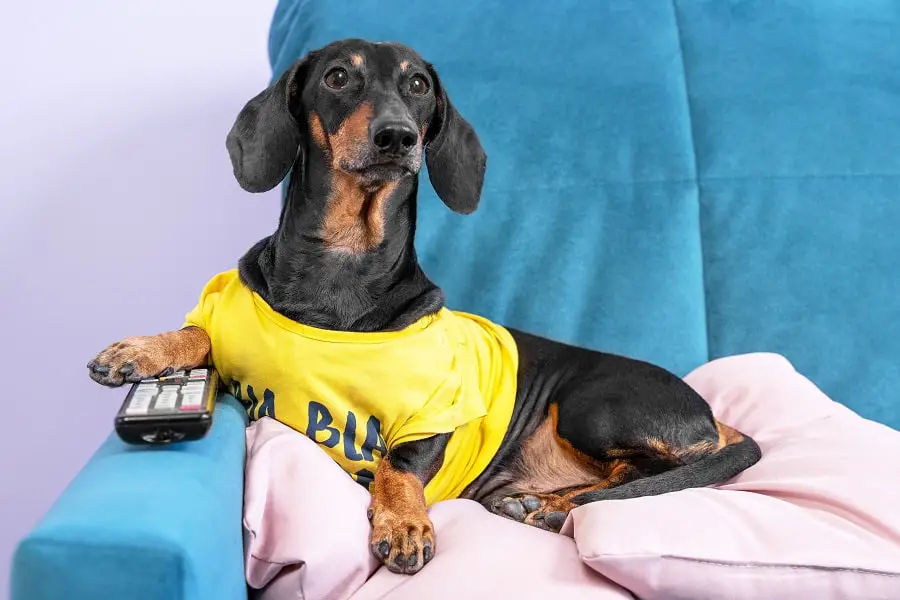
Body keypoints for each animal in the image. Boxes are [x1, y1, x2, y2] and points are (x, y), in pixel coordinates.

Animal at [86, 38, 760, 576]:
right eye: (338, 76)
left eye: (418, 85)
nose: (397, 137)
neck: (341, 267)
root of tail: (708, 413)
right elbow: (200, 336)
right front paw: (140, 351)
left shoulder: (431, 417)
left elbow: (398, 468)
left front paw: (405, 524)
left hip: (593, 407)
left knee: (662, 470)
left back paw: (546, 508)